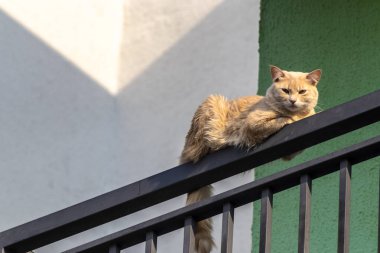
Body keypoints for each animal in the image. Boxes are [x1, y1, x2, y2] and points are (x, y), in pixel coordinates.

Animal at [180, 65, 320, 253]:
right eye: (285, 91)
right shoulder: (252, 125)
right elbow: (282, 119)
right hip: (212, 108)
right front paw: (289, 118)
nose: (292, 101)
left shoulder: (289, 153)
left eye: (302, 91)